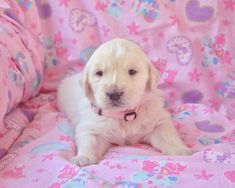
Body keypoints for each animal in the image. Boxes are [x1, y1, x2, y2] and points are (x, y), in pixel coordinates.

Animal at [57, 37, 193, 166]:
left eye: (132, 71)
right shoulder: (90, 127)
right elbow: (89, 141)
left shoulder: (158, 121)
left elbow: (169, 136)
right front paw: (83, 157)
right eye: (99, 73)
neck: (122, 115)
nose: (114, 94)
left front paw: (182, 149)